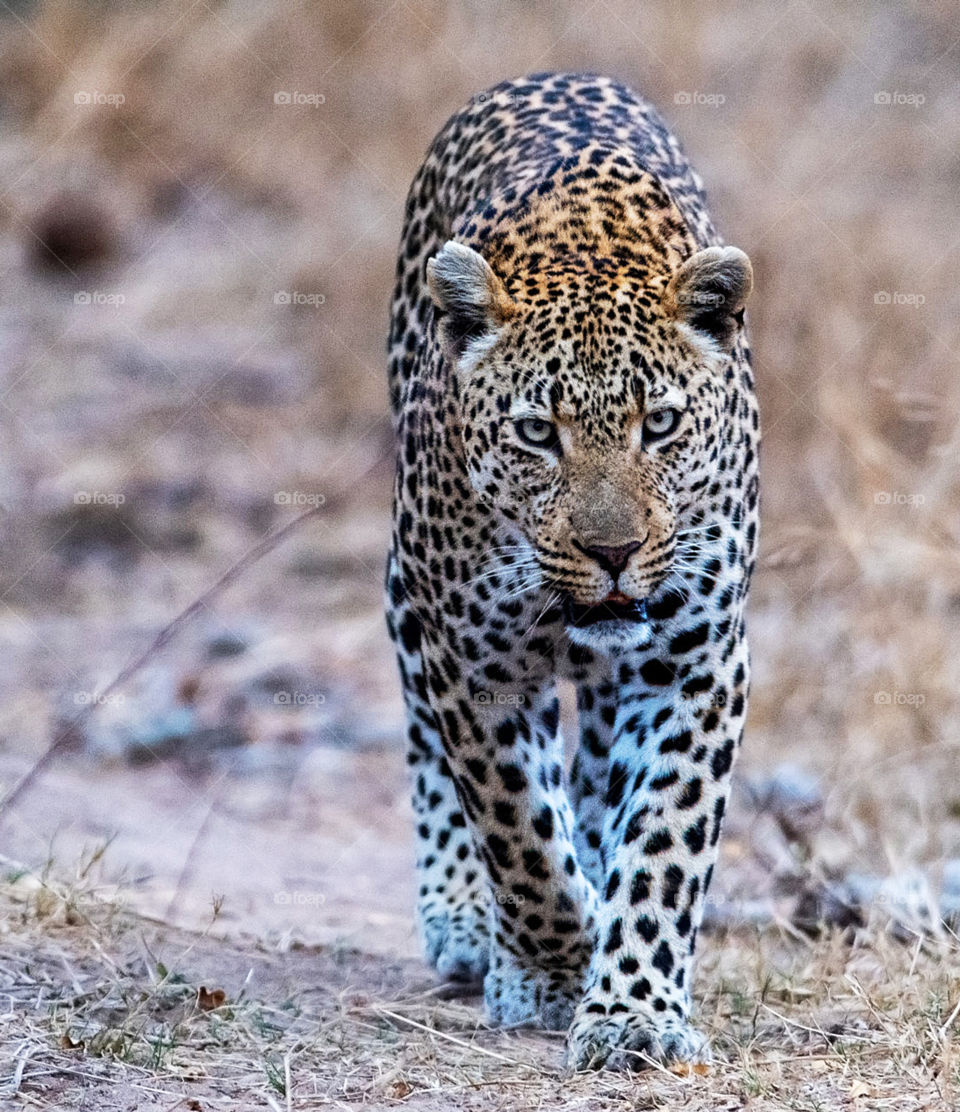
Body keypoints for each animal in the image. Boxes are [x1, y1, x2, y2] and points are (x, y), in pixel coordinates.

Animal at [382, 67, 756, 1067]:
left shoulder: (698, 663)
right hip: (407, 593)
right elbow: (517, 831)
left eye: (658, 425)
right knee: (433, 748)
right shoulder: (474, 663)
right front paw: (554, 965)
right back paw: (465, 918)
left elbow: (663, 841)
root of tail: (545, 73)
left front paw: (632, 1009)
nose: (613, 552)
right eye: (535, 432)